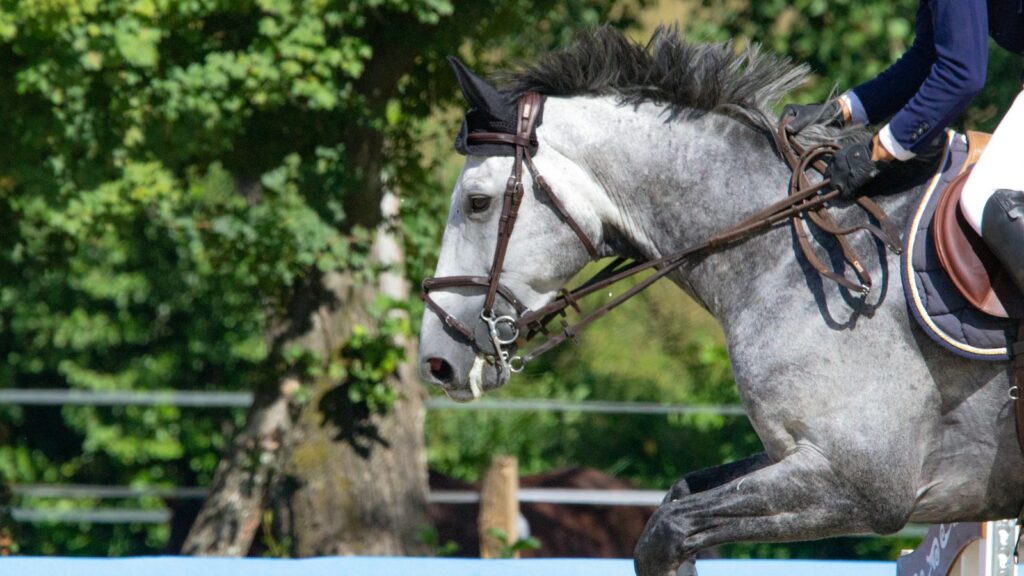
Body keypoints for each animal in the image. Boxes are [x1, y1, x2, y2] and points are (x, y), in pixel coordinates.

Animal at [416, 27, 1024, 575]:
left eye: (477, 202)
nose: (437, 360)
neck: (790, 252)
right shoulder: (798, 456)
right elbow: (678, 500)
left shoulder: (862, 483)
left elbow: (666, 532)